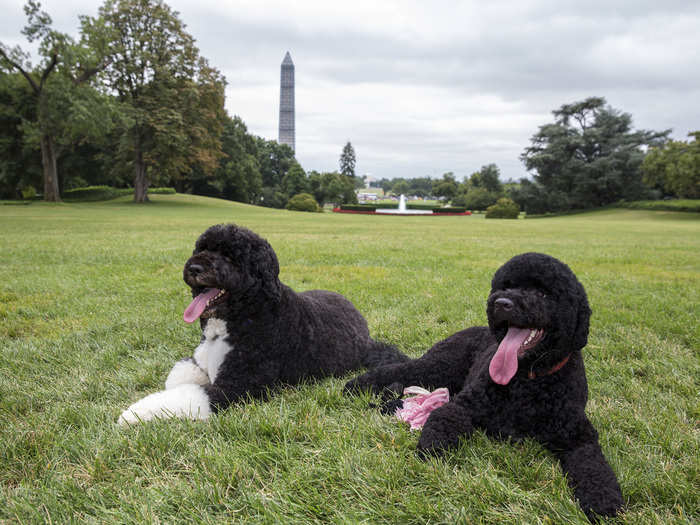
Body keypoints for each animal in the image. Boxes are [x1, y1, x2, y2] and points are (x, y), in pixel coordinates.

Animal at [119, 223, 404, 424]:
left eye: (230, 257)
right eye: (201, 248)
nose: (194, 268)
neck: (244, 315)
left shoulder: (239, 385)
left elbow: (189, 394)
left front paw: (134, 413)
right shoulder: (200, 361)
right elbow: (178, 378)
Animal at [344, 253, 624, 520]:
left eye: (543, 293)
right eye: (506, 285)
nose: (502, 303)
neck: (528, 380)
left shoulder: (578, 435)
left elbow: (594, 466)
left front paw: (604, 501)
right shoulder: (465, 405)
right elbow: (444, 418)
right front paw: (432, 449)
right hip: (438, 366)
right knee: (400, 369)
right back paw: (355, 386)